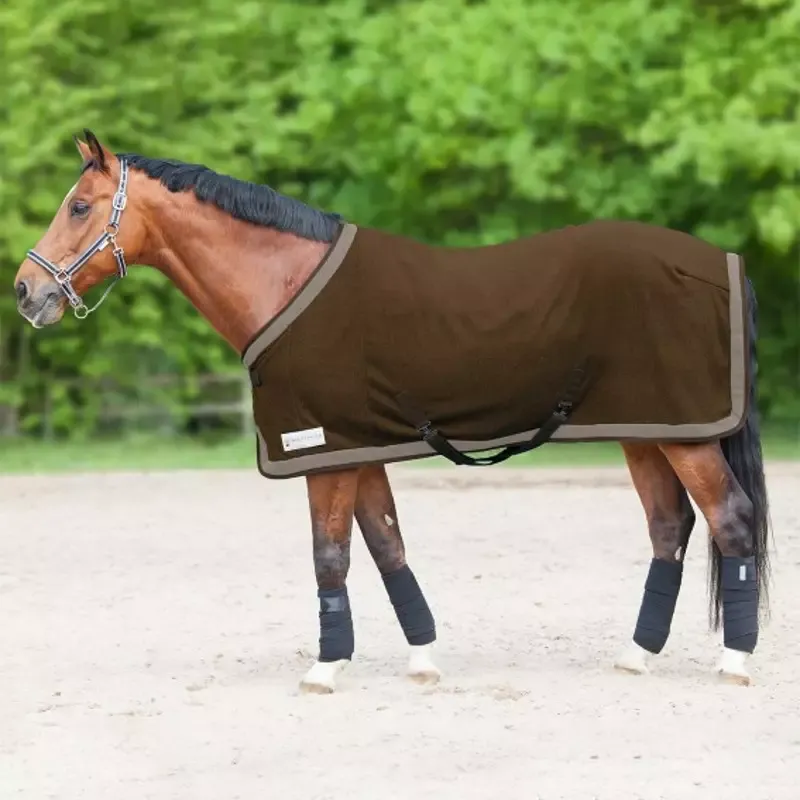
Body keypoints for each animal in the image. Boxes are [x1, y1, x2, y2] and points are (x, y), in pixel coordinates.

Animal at [13, 130, 771, 693]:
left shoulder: (320, 451)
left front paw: (325, 668)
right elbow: (385, 545)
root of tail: (719, 265)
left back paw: (735, 662)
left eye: (79, 206)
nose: (25, 292)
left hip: (686, 436)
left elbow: (330, 555)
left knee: (729, 518)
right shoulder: (357, 446)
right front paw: (422, 659)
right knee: (669, 526)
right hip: (647, 431)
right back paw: (637, 655)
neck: (284, 282)